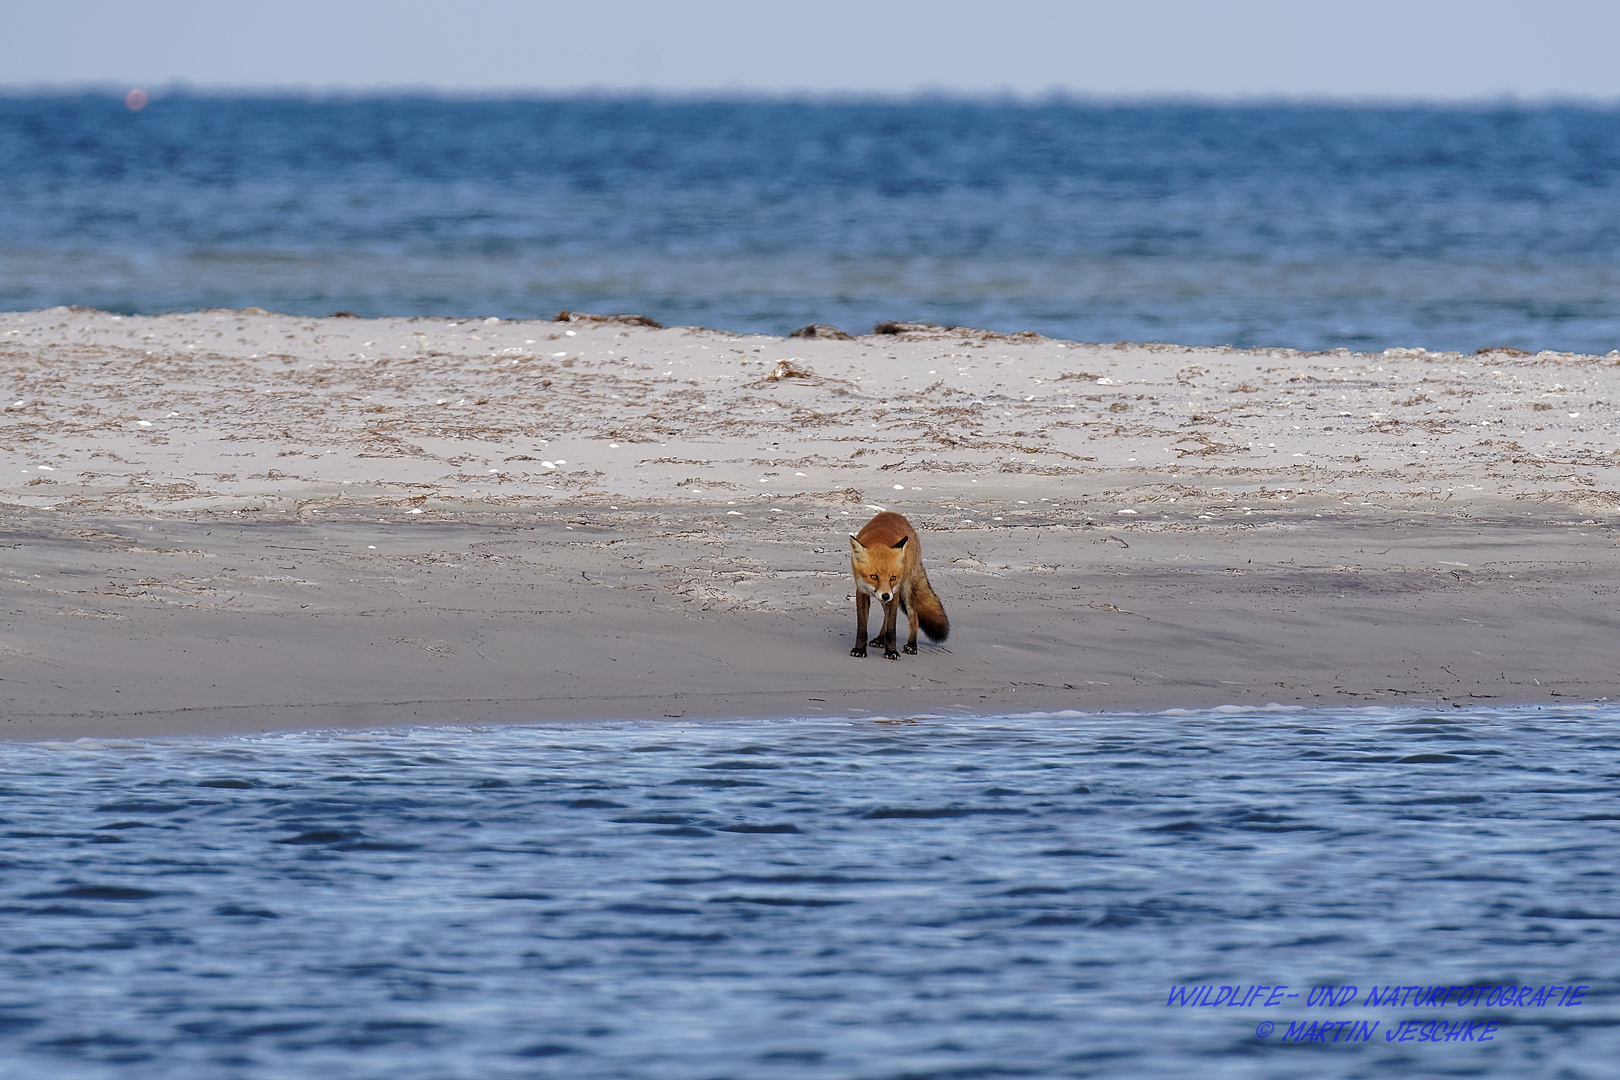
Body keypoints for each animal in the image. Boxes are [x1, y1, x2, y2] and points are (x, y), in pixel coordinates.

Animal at [848, 514, 946, 660]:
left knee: (913, 615)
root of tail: (894, 514)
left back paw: (911, 645)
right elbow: (862, 627)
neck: (879, 540)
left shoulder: (894, 593)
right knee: (886, 615)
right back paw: (880, 639)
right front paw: (859, 649)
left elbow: (891, 628)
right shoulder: (862, 592)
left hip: (906, 589)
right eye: (873, 576)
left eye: (893, 578)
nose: (885, 595)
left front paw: (891, 652)